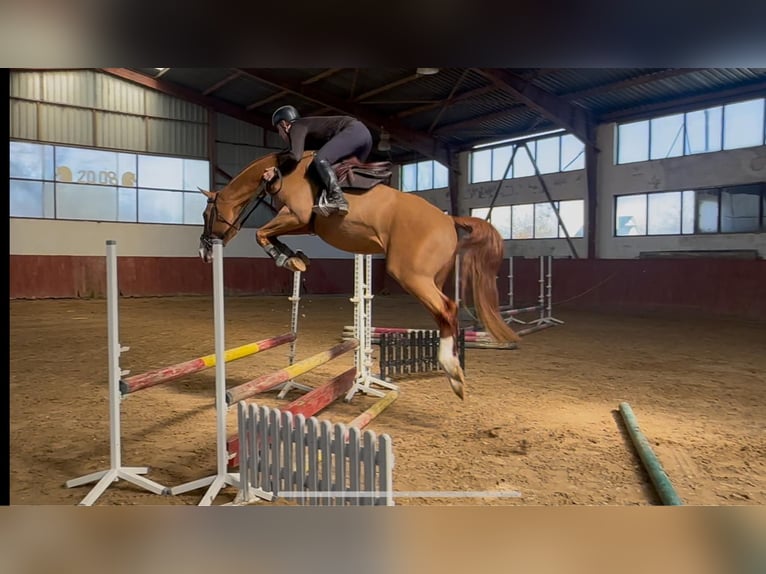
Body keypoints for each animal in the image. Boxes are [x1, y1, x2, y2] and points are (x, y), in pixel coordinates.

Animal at [198, 150, 520, 400]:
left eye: (205, 214)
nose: (203, 251)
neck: (282, 171)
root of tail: (448, 219)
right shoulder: (302, 222)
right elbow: (271, 234)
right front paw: (296, 258)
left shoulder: (297, 215)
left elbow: (261, 235)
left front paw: (286, 259)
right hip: (432, 277)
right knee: (443, 314)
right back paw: (453, 372)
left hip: (410, 275)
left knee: (447, 309)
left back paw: (452, 372)